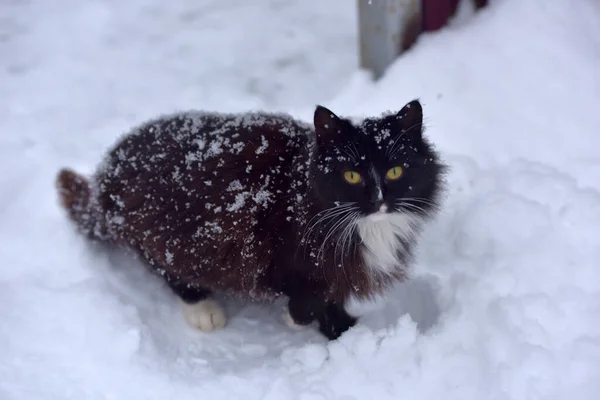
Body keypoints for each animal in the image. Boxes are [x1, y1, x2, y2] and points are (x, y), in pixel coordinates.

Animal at [56, 98, 446, 340]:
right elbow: (307, 299)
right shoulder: (278, 256)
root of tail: (109, 171)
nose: (379, 200)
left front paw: (343, 332)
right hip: (169, 234)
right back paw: (202, 308)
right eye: (351, 175)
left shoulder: (335, 269)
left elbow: (330, 298)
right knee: (166, 268)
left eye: (395, 171)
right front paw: (301, 321)